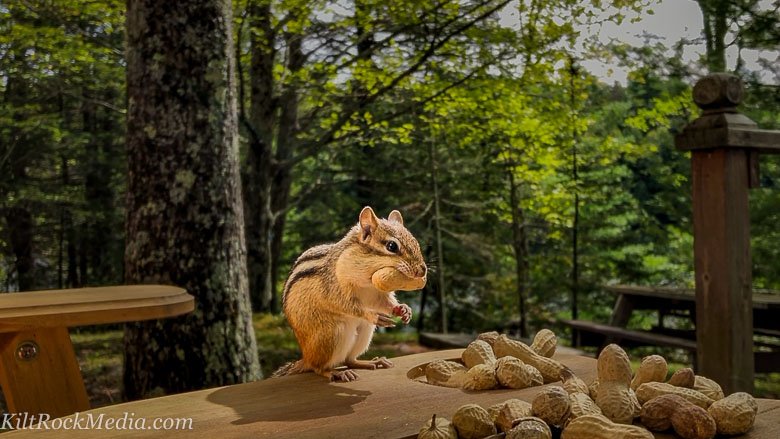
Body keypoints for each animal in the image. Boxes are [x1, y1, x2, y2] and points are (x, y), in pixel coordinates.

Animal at [272, 206, 427, 382]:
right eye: (392, 246)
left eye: (415, 242)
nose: (422, 270)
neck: (367, 279)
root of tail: (306, 357)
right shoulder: (333, 287)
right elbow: (344, 304)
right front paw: (373, 315)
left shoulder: (377, 294)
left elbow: (386, 303)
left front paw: (403, 309)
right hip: (333, 334)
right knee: (318, 367)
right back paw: (336, 372)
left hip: (365, 331)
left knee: (349, 360)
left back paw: (372, 362)